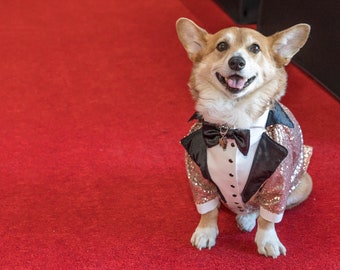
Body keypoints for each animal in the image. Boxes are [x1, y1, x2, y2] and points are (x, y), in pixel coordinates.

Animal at [178, 17, 314, 258]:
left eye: (255, 48)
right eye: (222, 46)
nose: (236, 62)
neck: (230, 128)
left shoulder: (278, 180)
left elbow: (268, 218)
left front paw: (267, 240)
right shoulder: (197, 177)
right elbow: (208, 210)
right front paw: (205, 232)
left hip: (304, 184)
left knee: (258, 209)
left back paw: (247, 218)